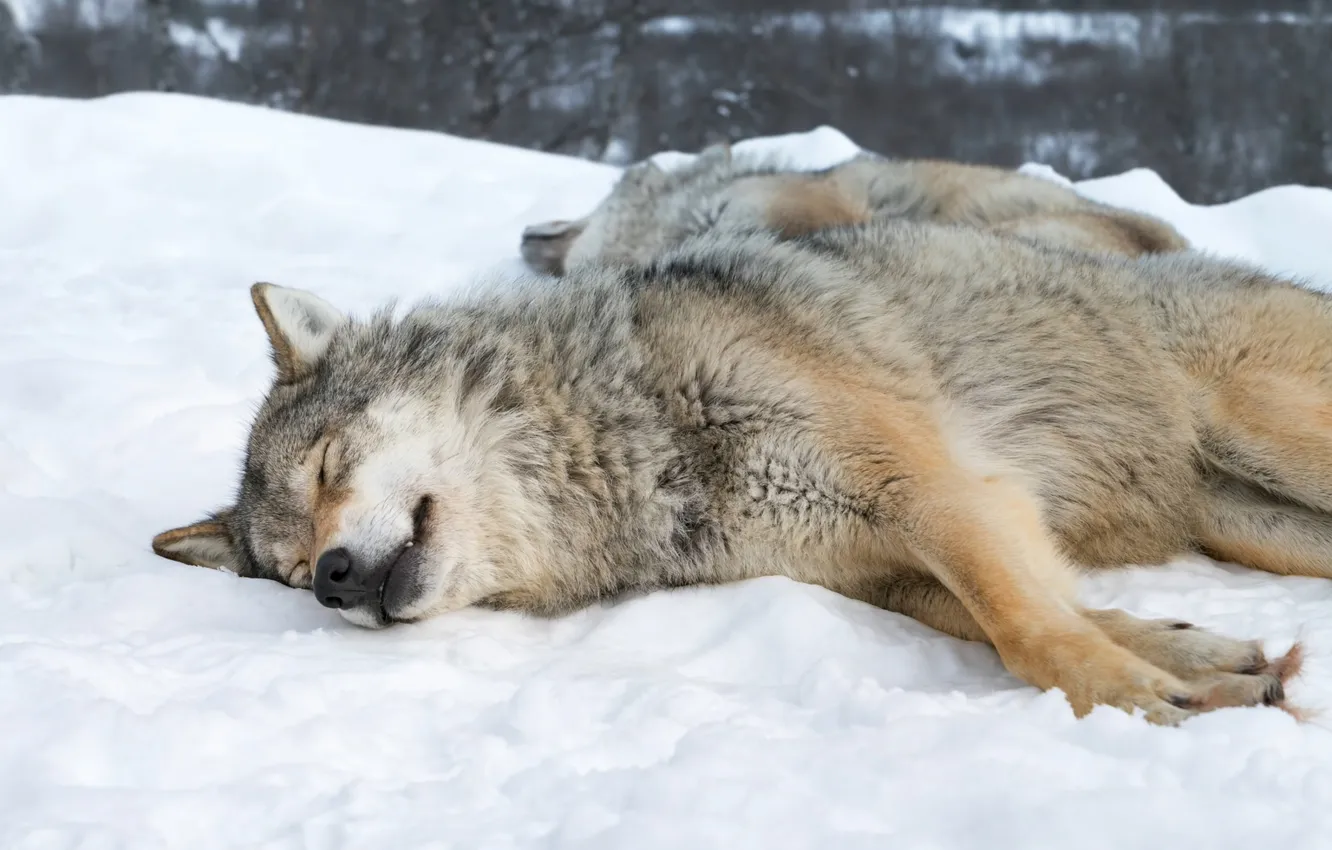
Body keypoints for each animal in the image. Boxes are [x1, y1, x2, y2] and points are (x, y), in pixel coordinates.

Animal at [152, 218, 1323, 725]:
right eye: (292, 572)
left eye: (327, 470)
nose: (337, 580)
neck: (638, 441)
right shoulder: (890, 571)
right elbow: (1033, 620)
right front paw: (1205, 664)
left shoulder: (938, 493)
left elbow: (1034, 634)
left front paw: (1137, 698)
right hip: (1252, 521)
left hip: (1273, 430)